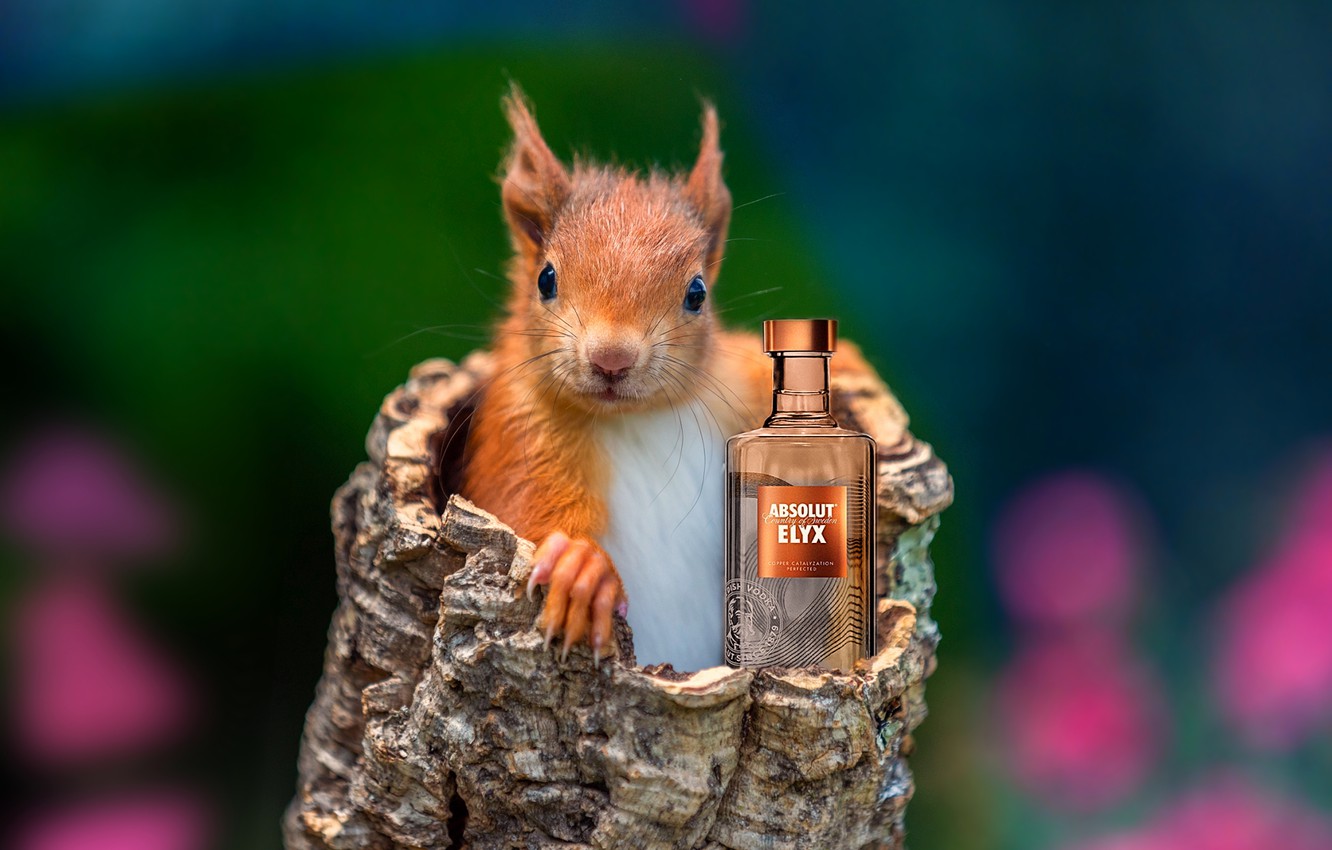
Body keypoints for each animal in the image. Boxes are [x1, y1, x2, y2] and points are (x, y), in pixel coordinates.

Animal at [459, 85, 874, 672]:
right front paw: (580, 568)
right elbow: (520, 507)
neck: (636, 419)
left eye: (697, 292)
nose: (611, 359)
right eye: (545, 278)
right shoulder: (518, 433)